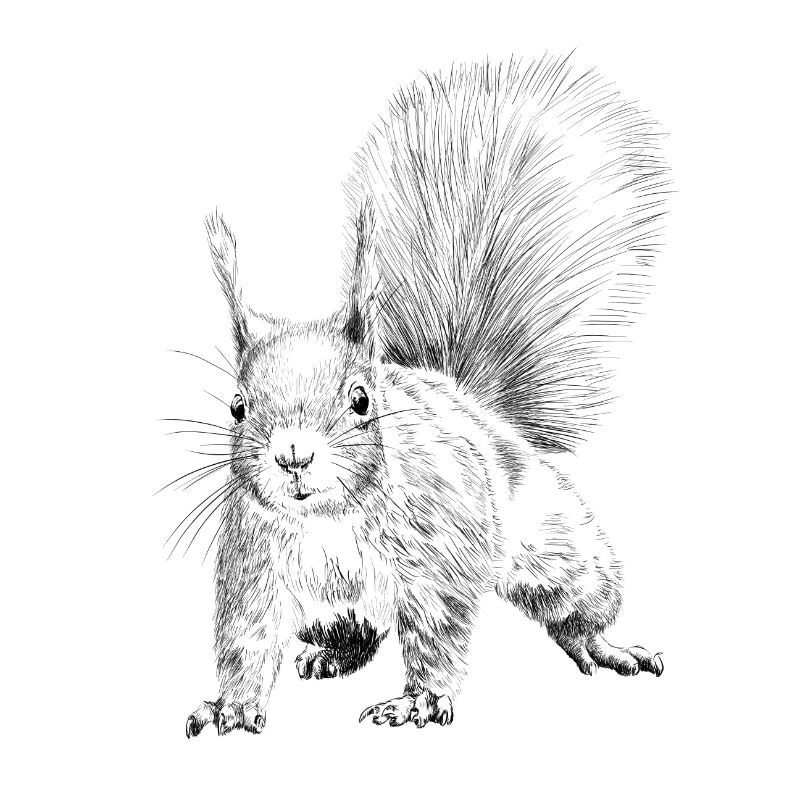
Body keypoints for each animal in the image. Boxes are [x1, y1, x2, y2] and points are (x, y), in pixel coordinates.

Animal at [182, 55, 669, 737]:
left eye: (362, 400)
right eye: (237, 407)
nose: (293, 457)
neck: (328, 519)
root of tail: (466, 396)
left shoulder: (440, 549)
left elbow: (438, 629)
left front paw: (416, 702)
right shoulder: (254, 562)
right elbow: (246, 636)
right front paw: (229, 705)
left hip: (553, 538)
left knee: (576, 596)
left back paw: (602, 644)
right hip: (330, 609)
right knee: (355, 632)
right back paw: (329, 655)